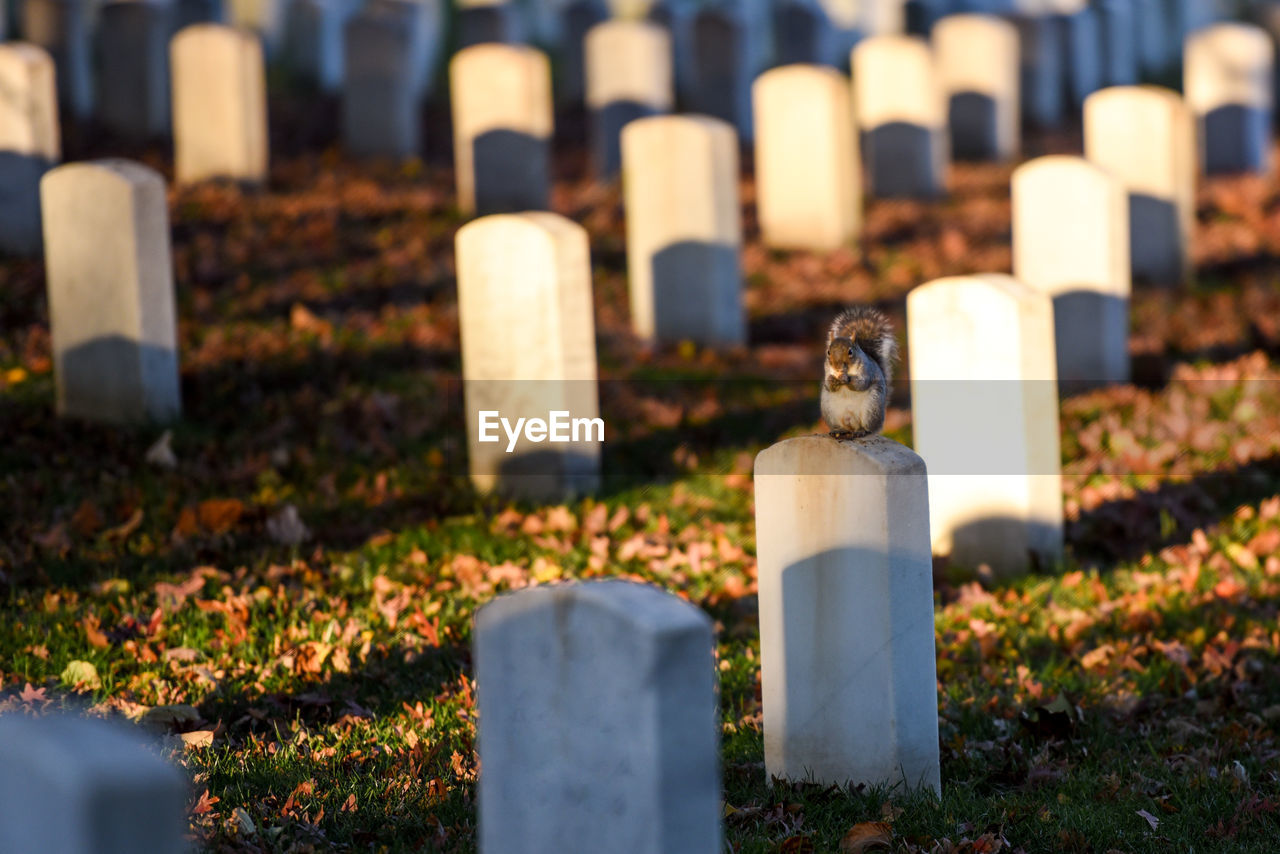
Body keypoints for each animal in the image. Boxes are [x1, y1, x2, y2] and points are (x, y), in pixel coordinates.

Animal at [824, 307, 896, 440]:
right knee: (842, 425)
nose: (837, 366)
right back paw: (839, 430)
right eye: (828, 352)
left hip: (871, 408)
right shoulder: (826, 369)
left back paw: (861, 431)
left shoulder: (866, 370)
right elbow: (828, 385)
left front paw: (847, 379)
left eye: (850, 352)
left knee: (867, 427)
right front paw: (833, 380)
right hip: (829, 411)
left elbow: (861, 384)